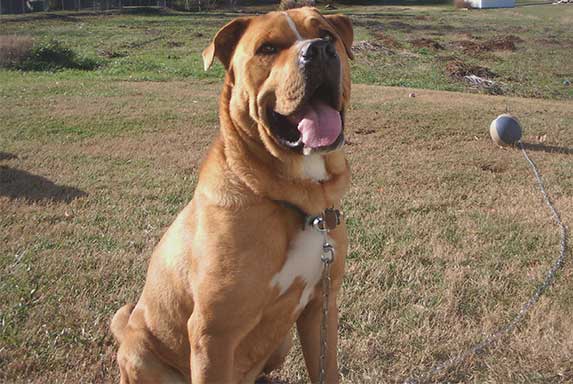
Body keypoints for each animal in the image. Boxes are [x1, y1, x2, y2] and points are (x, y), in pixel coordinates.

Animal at [110, 6, 354, 384]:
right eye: (267, 48)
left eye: (327, 35)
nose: (318, 50)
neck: (299, 201)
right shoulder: (214, 333)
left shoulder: (320, 307)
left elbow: (326, 371)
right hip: (140, 354)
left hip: (281, 343)